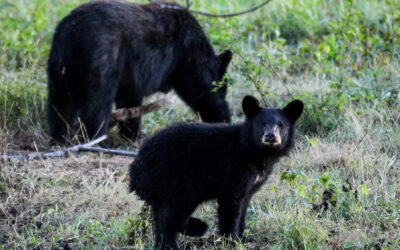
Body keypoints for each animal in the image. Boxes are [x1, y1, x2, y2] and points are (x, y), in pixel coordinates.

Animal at [47, 0, 231, 143]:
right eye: (225, 87)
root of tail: (71, 31)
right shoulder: (190, 54)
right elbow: (204, 92)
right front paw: (222, 122)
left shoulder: (131, 81)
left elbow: (130, 103)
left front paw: (130, 135)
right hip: (102, 58)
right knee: (97, 103)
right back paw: (96, 140)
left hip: (60, 70)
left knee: (59, 104)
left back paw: (59, 138)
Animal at [129, 94, 304, 249]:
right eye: (262, 123)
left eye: (281, 125)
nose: (270, 136)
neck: (257, 152)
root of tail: (135, 169)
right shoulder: (234, 168)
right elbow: (231, 203)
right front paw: (232, 241)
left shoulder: (254, 181)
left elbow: (244, 204)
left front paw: (243, 237)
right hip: (177, 181)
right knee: (172, 215)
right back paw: (195, 229)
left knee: (161, 218)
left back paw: (166, 244)